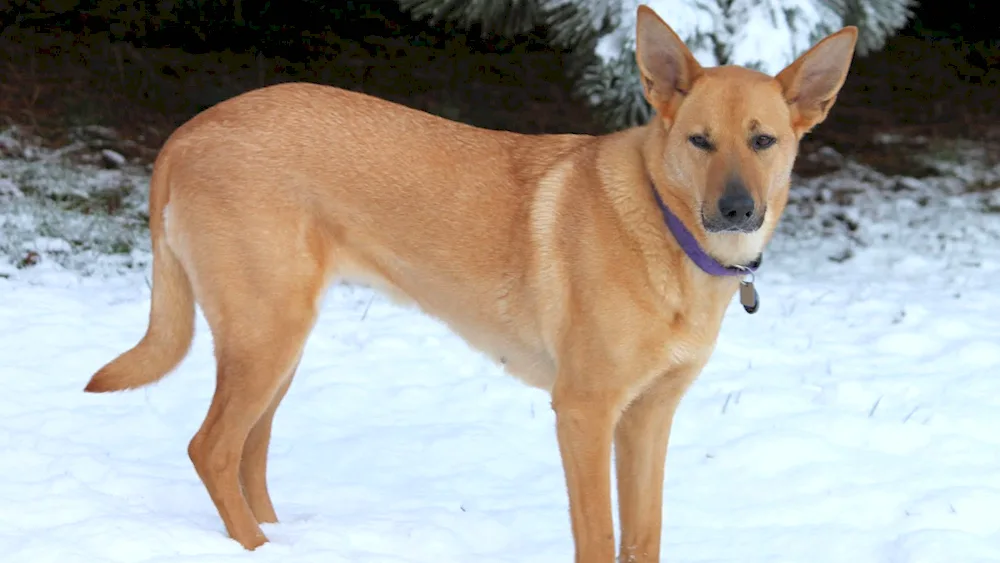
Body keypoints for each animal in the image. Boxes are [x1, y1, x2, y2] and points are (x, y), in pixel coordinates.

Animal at [82, 5, 856, 563]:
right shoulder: (584, 412)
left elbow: (644, 537)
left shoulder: (649, 418)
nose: (736, 210)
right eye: (699, 141)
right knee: (213, 449)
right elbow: (600, 537)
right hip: (267, 334)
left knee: (249, 451)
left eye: (763, 141)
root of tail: (189, 131)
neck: (667, 234)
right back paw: (256, 548)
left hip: (277, 342)